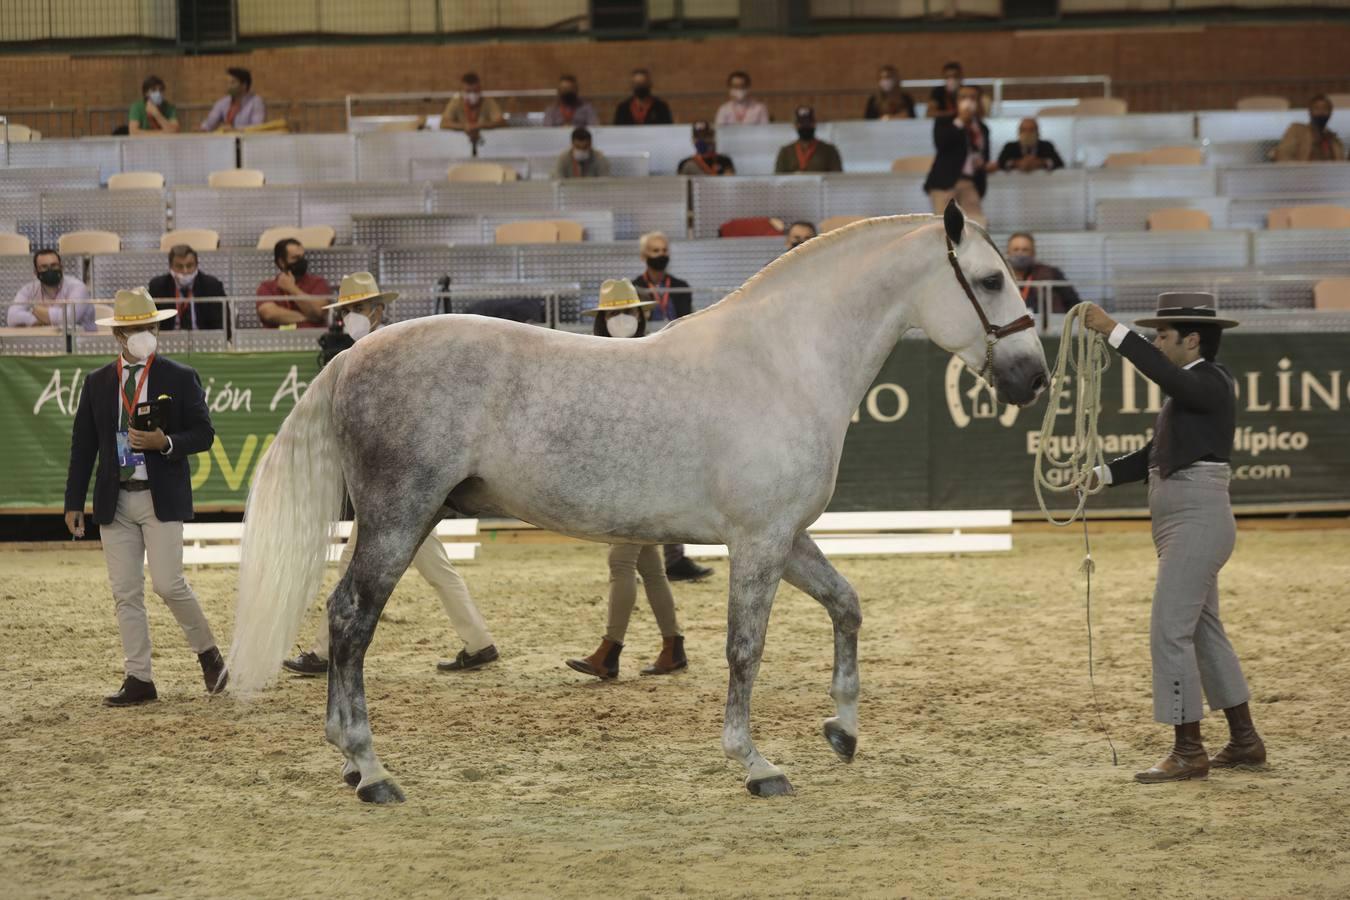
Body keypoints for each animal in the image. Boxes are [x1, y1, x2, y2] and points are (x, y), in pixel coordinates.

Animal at [232, 203, 1047, 804]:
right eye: (989, 280)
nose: (1033, 377)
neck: (782, 363)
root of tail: (350, 356)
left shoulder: (787, 538)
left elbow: (846, 607)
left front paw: (842, 730)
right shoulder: (758, 542)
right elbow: (745, 649)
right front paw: (756, 763)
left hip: (403, 517)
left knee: (348, 618)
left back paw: (350, 761)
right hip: (399, 518)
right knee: (351, 619)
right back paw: (370, 769)